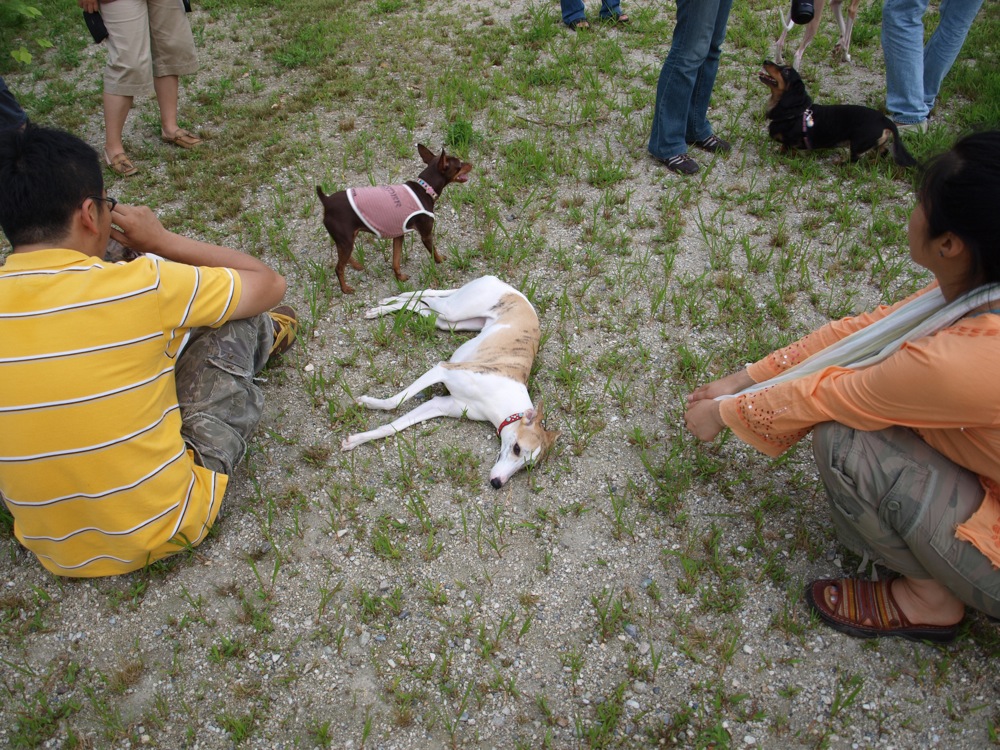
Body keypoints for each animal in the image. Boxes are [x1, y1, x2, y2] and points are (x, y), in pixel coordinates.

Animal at [342, 276, 564, 488]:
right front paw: (369, 403)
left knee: (421, 305)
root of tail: (508, 286)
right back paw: (384, 305)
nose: (497, 483)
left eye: (527, 467)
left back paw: (385, 306)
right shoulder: (443, 370)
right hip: (453, 311)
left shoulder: (441, 405)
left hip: (451, 321)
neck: (501, 401)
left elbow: (391, 427)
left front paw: (356, 440)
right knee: (426, 295)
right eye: (517, 448)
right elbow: (393, 402)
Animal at [756, 61, 916, 167]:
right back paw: (872, 162)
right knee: (882, 152)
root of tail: (885, 120)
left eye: (786, 71)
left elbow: (787, 148)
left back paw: (840, 162)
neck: (795, 111)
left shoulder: (791, 142)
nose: (766, 61)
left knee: (855, 159)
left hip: (857, 143)